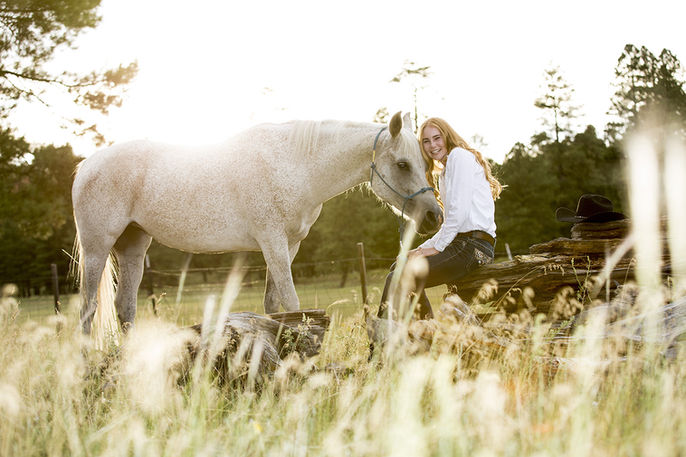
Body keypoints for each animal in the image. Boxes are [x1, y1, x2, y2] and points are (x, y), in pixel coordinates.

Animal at [72, 111, 442, 335]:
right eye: (403, 164)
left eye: (425, 163)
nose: (434, 216)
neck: (295, 165)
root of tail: (87, 165)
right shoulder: (273, 242)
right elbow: (293, 303)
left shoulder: (289, 245)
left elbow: (273, 305)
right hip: (98, 248)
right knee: (89, 309)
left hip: (133, 247)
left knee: (125, 308)